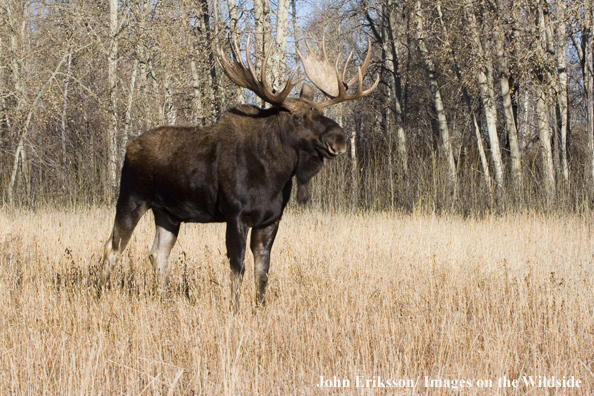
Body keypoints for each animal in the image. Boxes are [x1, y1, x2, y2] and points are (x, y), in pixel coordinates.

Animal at [100, 34, 380, 310]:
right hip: (131, 199)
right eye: (298, 117)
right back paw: (100, 292)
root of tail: (128, 147)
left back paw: (167, 300)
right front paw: (234, 311)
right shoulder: (235, 216)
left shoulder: (270, 220)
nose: (339, 139)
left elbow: (262, 271)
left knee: (157, 253)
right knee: (112, 248)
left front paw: (260, 308)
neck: (274, 176)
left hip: (168, 213)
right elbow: (237, 269)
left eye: (321, 112)